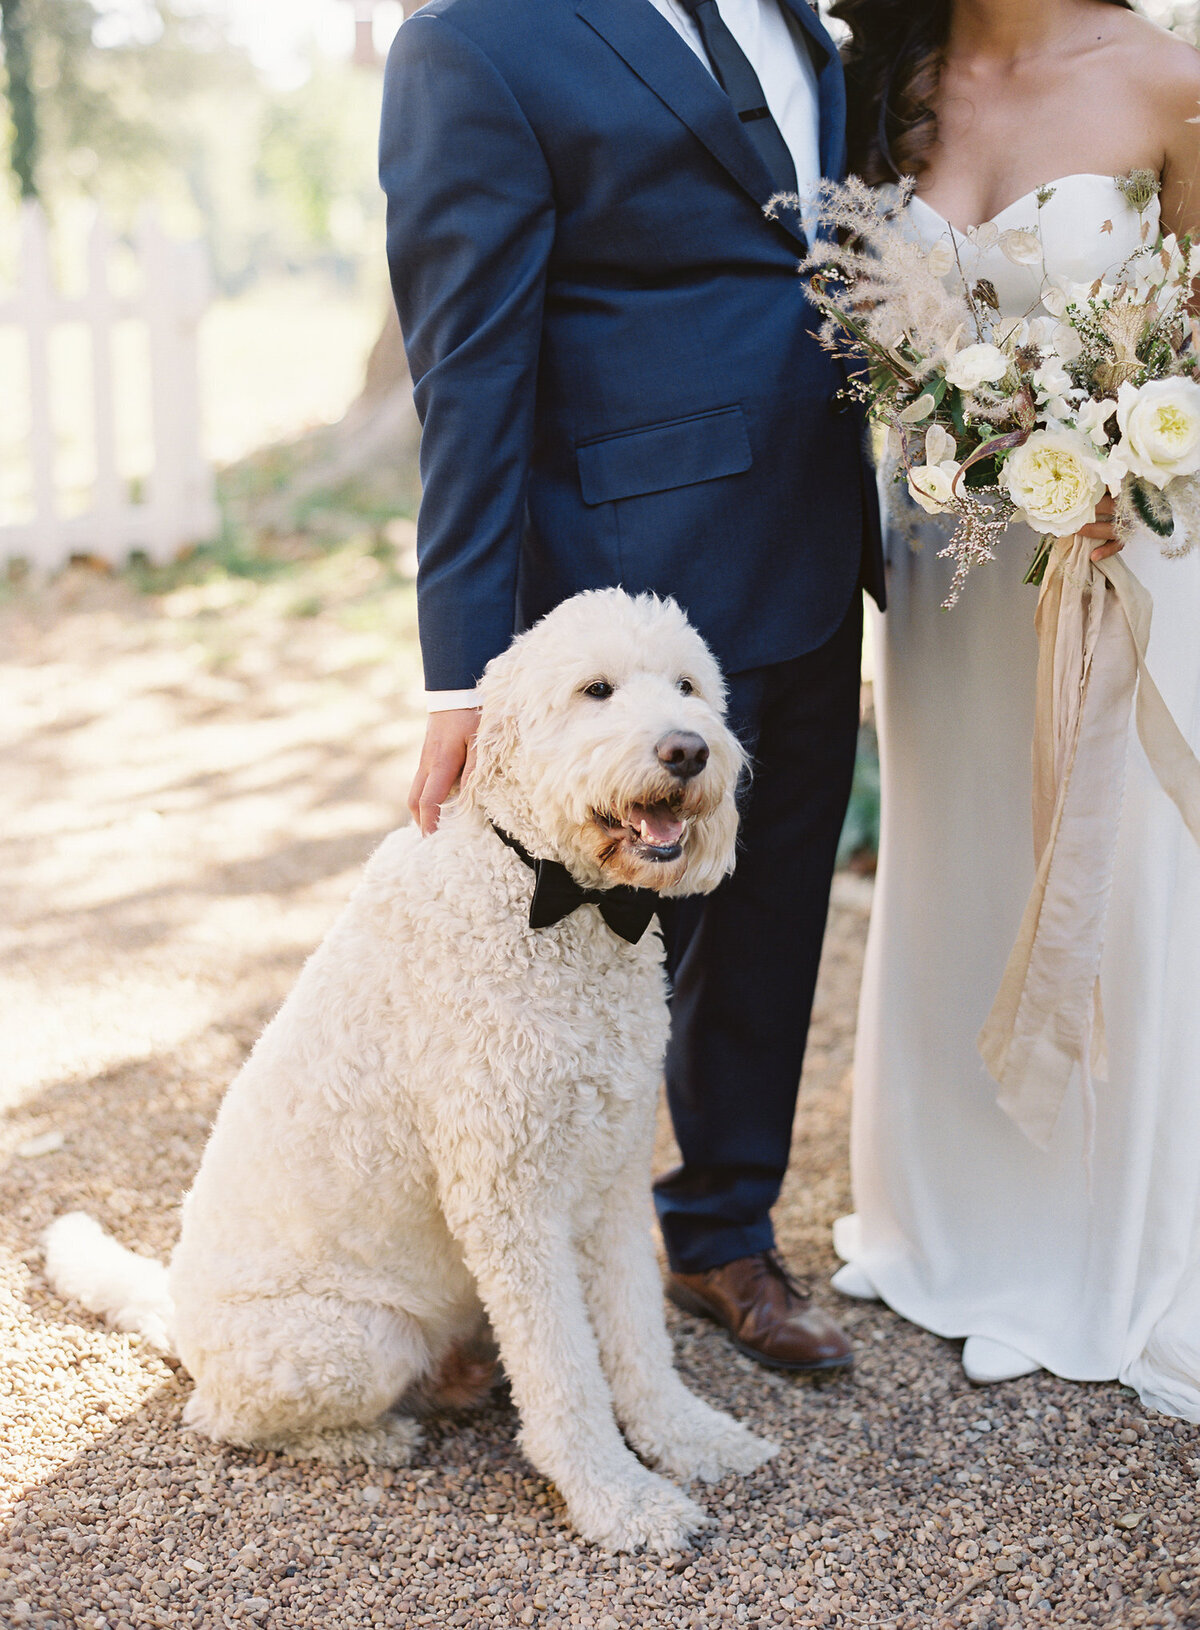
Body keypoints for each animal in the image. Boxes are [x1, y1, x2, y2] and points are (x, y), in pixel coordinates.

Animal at [44, 590, 779, 1551]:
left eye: (688, 687)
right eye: (596, 690)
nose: (688, 750)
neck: (550, 900)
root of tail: (178, 1309)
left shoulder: (612, 1175)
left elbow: (637, 1337)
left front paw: (688, 1438)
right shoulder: (509, 1201)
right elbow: (565, 1374)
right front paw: (618, 1498)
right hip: (356, 1341)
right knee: (223, 1419)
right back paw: (374, 1438)